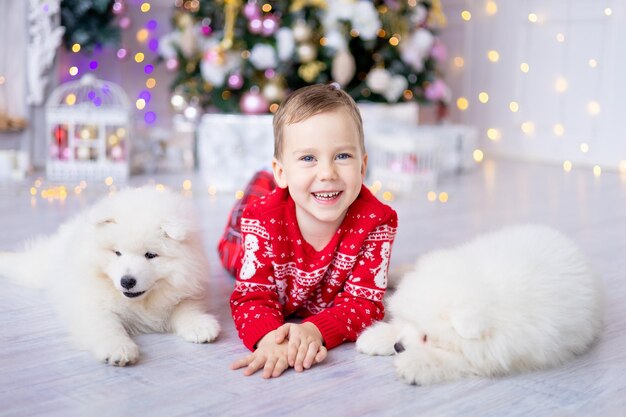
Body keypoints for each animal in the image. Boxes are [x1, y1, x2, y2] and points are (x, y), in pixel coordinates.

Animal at [0, 187, 219, 366]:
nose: (127, 281)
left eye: (150, 255)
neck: (141, 302)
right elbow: (106, 325)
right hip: (42, 269)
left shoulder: (185, 288)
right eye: (117, 253)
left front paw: (200, 325)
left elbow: (186, 307)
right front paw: (118, 349)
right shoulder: (90, 303)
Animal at [354, 224, 604, 384]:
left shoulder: (491, 353)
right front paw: (377, 337)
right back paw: (395, 274)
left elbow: (453, 359)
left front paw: (413, 364)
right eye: (408, 320)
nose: (398, 347)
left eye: (427, 337)